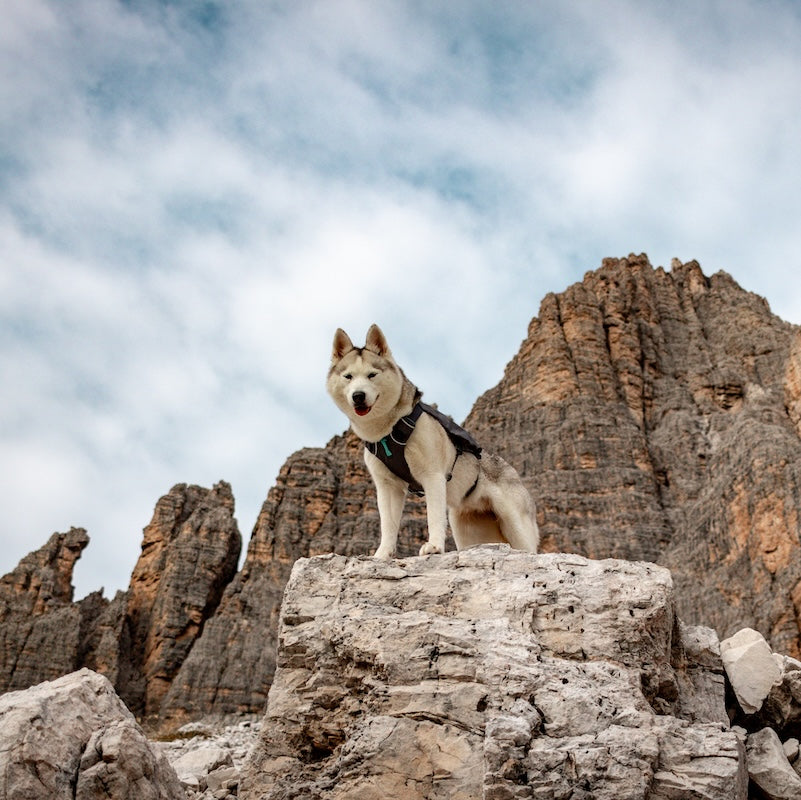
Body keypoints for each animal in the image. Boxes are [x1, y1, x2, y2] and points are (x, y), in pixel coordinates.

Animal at [324, 322, 536, 560]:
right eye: (348, 376)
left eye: (372, 375)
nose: (358, 396)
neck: (389, 430)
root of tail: (513, 471)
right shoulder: (387, 486)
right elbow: (388, 524)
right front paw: (382, 554)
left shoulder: (432, 475)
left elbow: (433, 515)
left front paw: (434, 546)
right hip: (466, 528)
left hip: (516, 526)